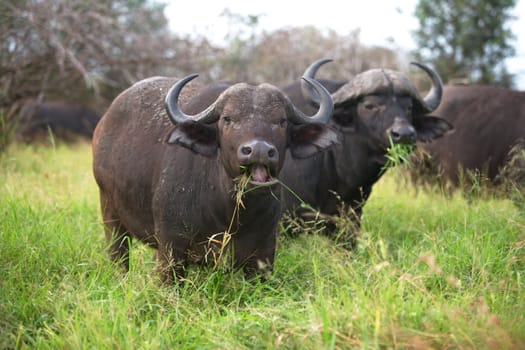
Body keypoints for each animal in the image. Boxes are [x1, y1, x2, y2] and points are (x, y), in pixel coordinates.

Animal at [92, 72, 336, 284]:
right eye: (227, 119)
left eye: (282, 121)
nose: (258, 150)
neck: (229, 214)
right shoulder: (171, 249)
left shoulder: (264, 255)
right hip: (110, 215)